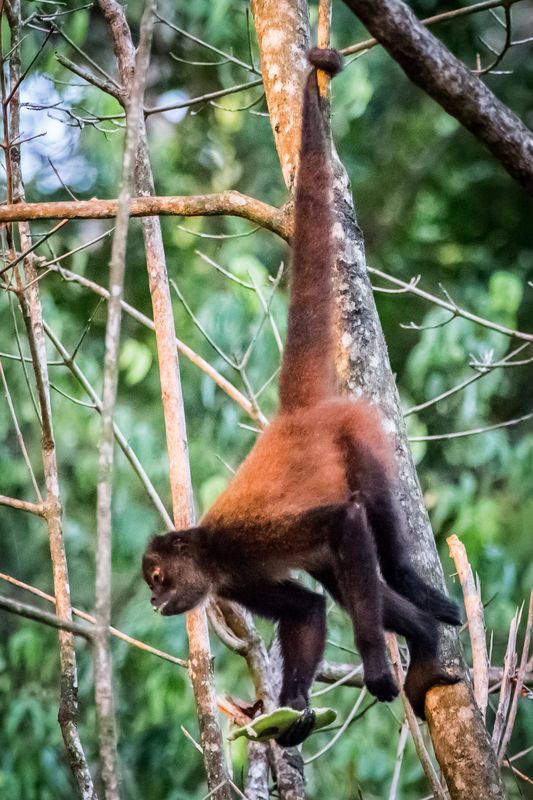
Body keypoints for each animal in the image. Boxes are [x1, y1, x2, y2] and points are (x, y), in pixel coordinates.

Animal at [143, 48, 461, 747]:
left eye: (155, 577)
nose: (152, 600)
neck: (206, 550)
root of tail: (296, 416)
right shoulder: (237, 578)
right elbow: (310, 609)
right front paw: (288, 713)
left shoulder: (237, 548)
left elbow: (345, 526)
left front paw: (373, 664)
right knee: (341, 586)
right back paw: (422, 637)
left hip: (361, 438)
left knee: (373, 533)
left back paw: (416, 612)